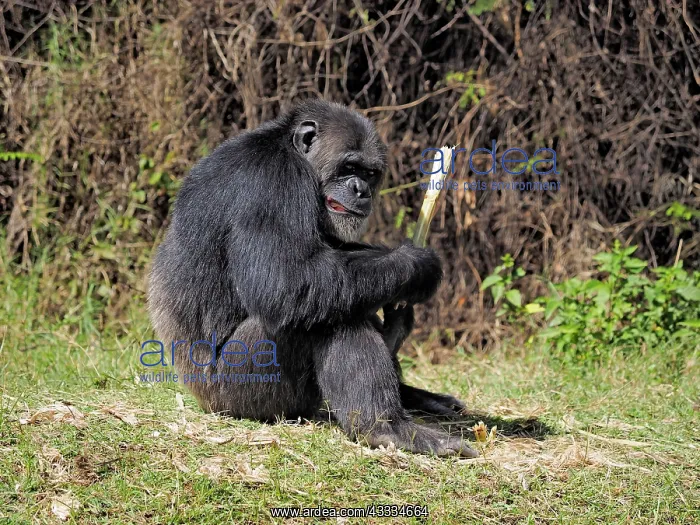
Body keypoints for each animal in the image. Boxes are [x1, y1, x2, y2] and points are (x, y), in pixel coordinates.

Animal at [148, 99, 477, 457]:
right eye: (349, 167)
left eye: (369, 173)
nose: (361, 189)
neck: (293, 153)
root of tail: (202, 401)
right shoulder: (272, 183)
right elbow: (286, 284)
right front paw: (416, 265)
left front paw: (400, 312)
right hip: (240, 389)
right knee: (326, 317)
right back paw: (388, 429)